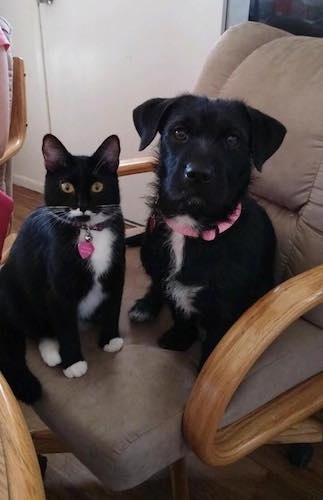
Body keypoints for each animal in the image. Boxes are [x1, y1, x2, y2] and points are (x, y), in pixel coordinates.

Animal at [0, 135, 125, 404]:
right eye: (66, 187)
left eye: (98, 187)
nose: (83, 206)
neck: (87, 233)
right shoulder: (58, 289)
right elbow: (66, 326)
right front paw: (73, 363)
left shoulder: (116, 273)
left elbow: (113, 306)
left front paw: (110, 339)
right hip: (17, 296)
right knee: (36, 329)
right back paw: (53, 353)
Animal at [129, 95, 286, 366]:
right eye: (179, 132)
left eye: (232, 139)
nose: (197, 174)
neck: (192, 227)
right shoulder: (173, 287)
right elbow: (179, 312)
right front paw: (179, 339)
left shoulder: (225, 312)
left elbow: (213, 349)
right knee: (156, 284)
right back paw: (146, 306)